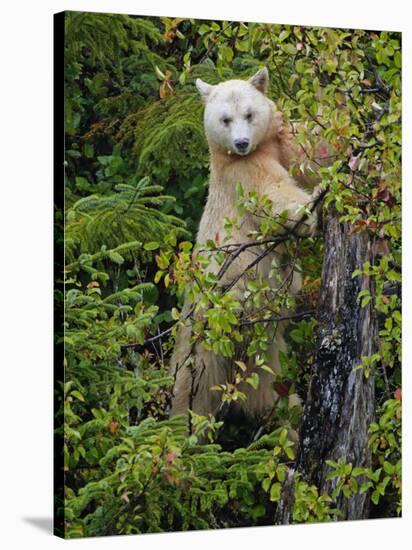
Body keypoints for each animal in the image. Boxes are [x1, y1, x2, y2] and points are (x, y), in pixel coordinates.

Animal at [167, 67, 318, 424]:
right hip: (204, 336)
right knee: (190, 390)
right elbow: (272, 191)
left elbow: (309, 149)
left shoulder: (278, 141)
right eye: (225, 119)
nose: (241, 142)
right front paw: (307, 213)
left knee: (269, 387)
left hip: (262, 351)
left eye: (249, 114)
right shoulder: (241, 171)